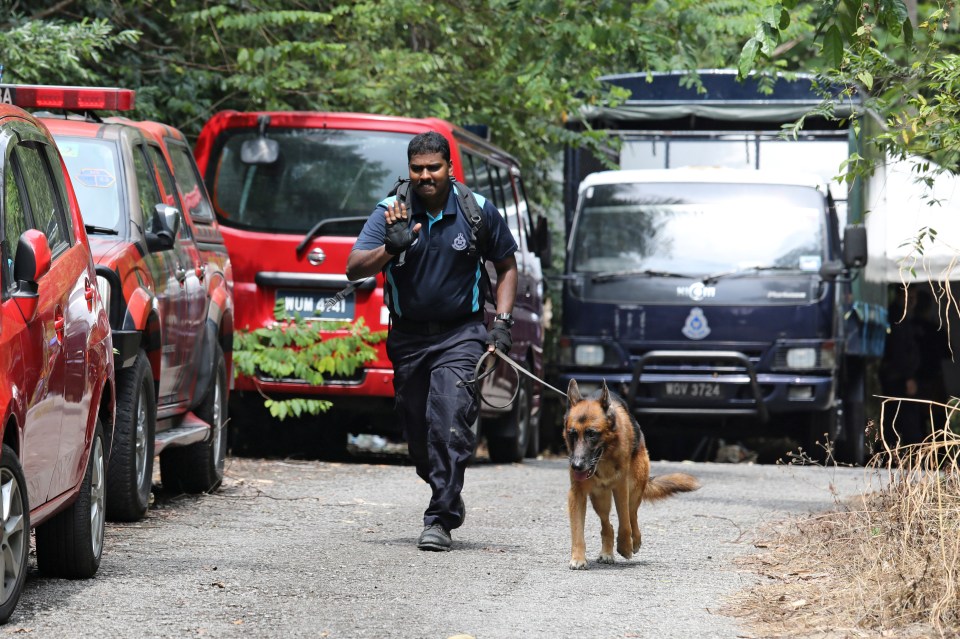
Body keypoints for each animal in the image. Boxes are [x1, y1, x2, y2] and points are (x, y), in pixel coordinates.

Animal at [564, 380, 696, 568]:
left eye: (592, 434)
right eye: (572, 434)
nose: (576, 466)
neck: (605, 458)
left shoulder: (621, 488)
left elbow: (625, 521)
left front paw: (626, 546)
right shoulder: (577, 494)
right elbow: (577, 529)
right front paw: (578, 558)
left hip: (634, 488)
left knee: (632, 515)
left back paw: (635, 541)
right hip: (599, 499)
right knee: (608, 525)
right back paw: (607, 553)